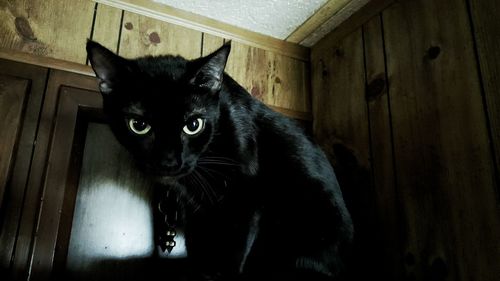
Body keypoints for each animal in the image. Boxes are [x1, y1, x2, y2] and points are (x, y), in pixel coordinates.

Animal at [86, 40, 354, 280]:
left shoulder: (245, 201)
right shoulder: (196, 211)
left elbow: (231, 256)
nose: (169, 162)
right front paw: (200, 273)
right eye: (138, 125)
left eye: (193, 125)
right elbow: (198, 250)